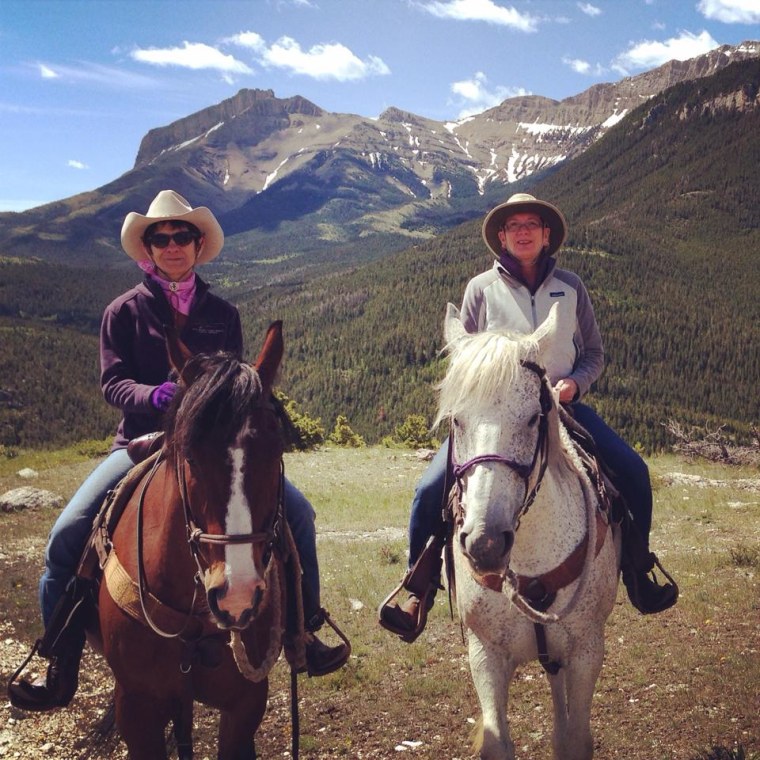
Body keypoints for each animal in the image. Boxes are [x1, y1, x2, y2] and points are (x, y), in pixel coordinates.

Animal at [440, 302, 624, 760]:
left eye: (532, 419)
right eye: (456, 420)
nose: (486, 544)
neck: (530, 561)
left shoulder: (586, 652)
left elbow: (575, 740)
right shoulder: (485, 655)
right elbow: (497, 741)